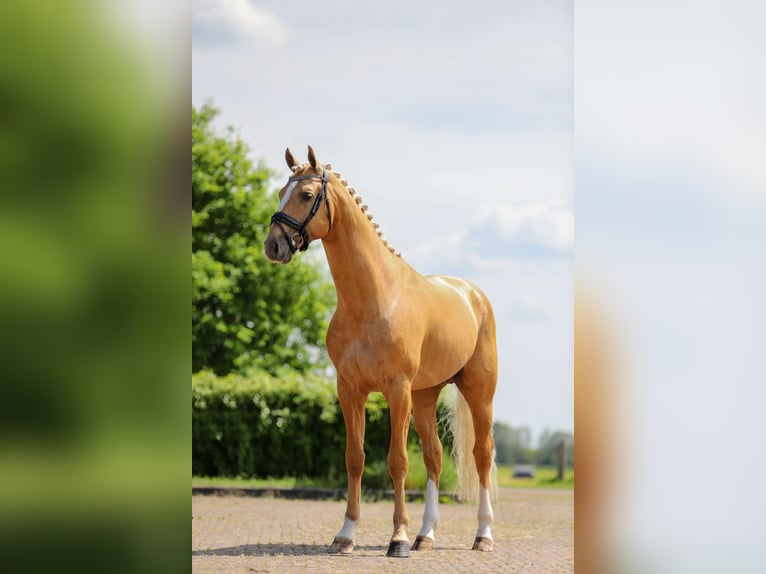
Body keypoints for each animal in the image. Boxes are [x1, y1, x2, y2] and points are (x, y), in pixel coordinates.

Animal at [268, 146, 500, 560]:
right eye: (281, 191)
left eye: (307, 195)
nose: (273, 245)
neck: (375, 299)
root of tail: (472, 295)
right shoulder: (350, 390)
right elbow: (355, 459)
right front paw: (345, 535)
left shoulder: (397, 390)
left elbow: (397, 461)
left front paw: (398, 539)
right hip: (425, 397)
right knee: (435, 456)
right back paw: (426, 534)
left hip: (478, 391)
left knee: (482, 454)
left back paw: (482, 535)